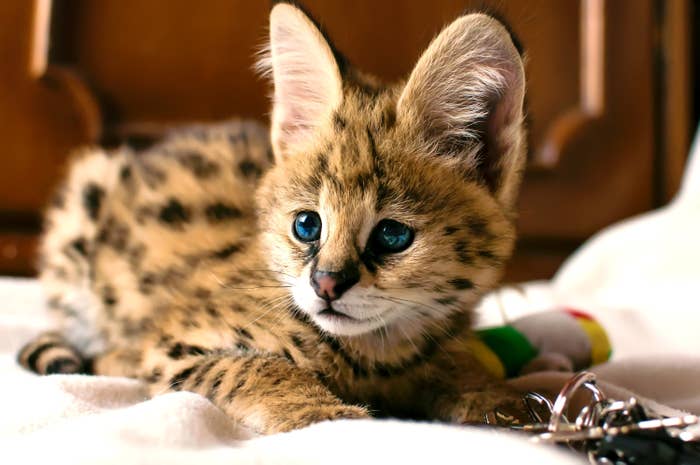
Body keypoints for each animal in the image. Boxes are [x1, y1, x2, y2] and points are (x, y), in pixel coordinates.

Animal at [17, 2, 524, 436]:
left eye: (392, 235)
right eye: (307, 225)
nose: (325, 284)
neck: (377, 353)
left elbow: (460, 370)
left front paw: (498, 399)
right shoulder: (177, 342)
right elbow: (256, 365)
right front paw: (327, 415)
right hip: (85, 196)